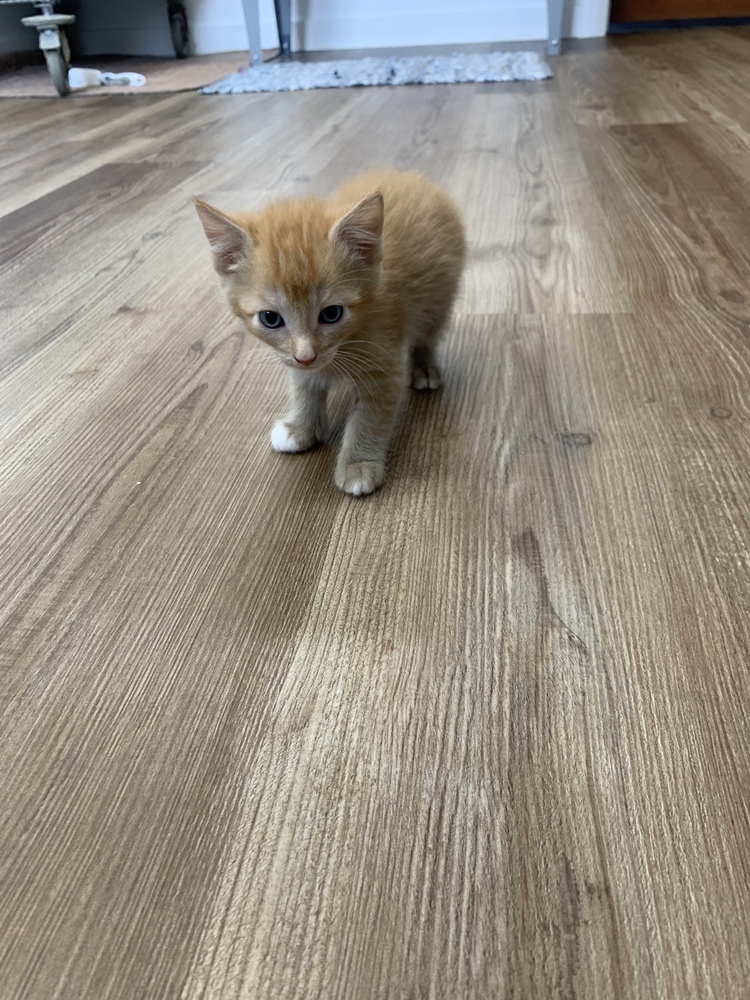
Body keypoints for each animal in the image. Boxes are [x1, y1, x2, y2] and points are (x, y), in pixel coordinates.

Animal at [194, 174, 468, 498]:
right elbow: (304, 388)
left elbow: (369, 418)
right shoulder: (296, 362)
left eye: (331, 314)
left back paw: (424, 367)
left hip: (439, 297)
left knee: (428, 333)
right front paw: (301, 427)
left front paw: (358, 465)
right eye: (270, 318)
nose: (306, 355)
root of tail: (412, 175)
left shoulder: (384, 369)